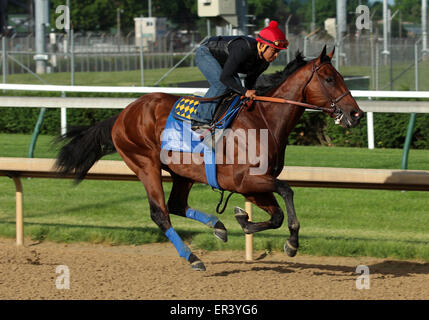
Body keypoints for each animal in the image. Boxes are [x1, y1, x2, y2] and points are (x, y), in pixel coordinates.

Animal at [53, 45, 362, 270]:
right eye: (329, 78)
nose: (356, 113)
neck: (264, 120)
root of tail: (123, 113)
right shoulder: (245, 179)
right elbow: (287, 192)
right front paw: (292, 243)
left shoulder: (254, 184)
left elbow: (275, 216)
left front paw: (241, 219)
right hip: (145, 164)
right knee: (161, 213)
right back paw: (193, 258)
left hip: (182, 172)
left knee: (177, 205)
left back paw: (218, 226)